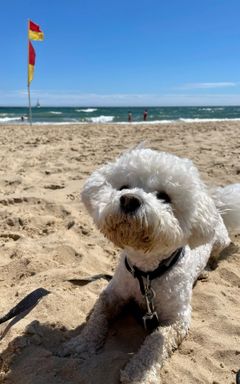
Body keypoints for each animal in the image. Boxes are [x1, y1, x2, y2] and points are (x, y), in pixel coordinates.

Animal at [62, 147, 240, 384]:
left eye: (164, 197)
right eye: (123, 187)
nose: (129, 199)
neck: (146, 272)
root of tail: (216, 209)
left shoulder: (178, 318)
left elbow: (156, 340)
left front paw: (140, 374)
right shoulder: (112, 293)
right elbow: (97, 317)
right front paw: (82, 343)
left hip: (220, 240)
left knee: (216, 253)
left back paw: (207, 269)